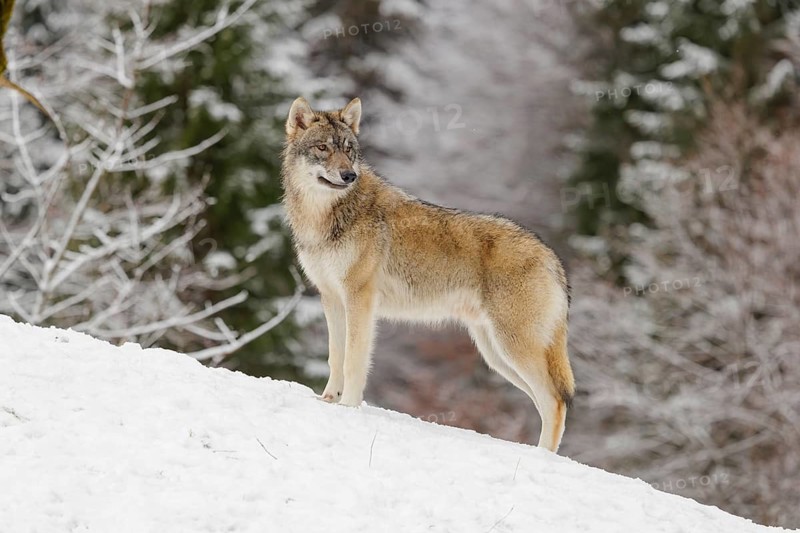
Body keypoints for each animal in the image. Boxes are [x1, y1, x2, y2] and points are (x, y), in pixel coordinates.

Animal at [281, 97, 575, 452]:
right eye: (323, 147)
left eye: (349, 150)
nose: (348, 175)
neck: (325, 216)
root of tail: (552, 258)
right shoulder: (332, 299)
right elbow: (335, 357)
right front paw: (328, 401)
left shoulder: (359, 300)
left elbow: (353, 361)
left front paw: (349, 408)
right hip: (496, 354)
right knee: (545, 403)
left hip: (513, 348)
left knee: (555, 401)